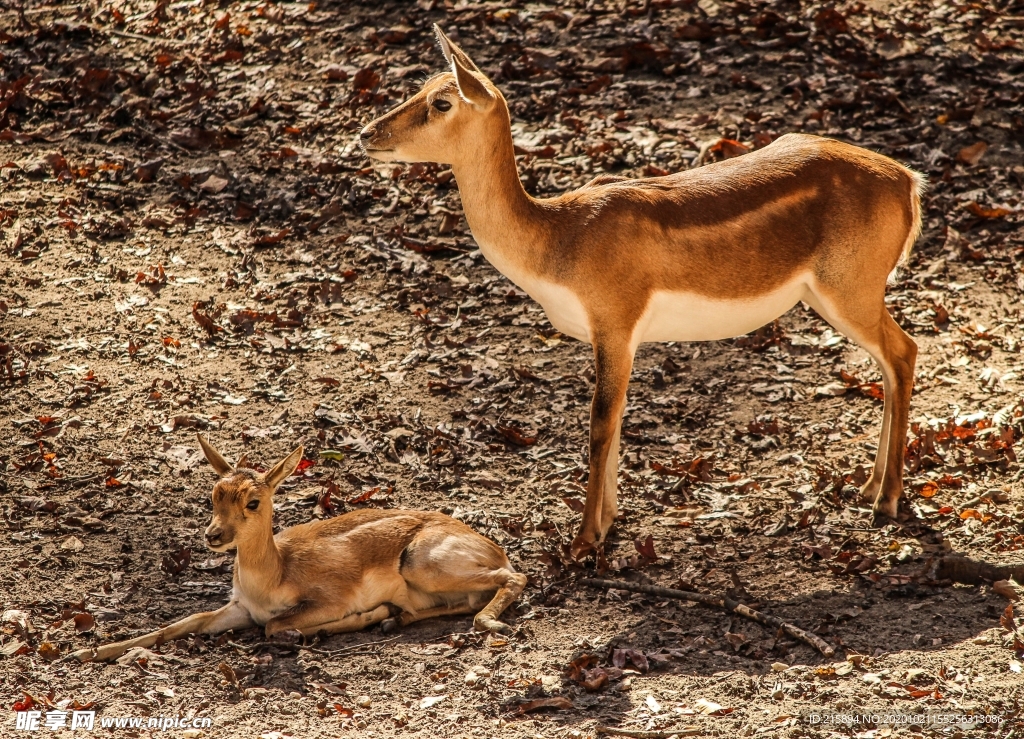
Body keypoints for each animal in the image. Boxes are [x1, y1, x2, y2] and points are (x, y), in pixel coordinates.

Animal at [70, 431, 528, 663]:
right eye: (215, 493)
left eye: (253, 501)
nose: (213, 535)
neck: (273, 576)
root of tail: (492, 546)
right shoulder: (239, 607)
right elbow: (182, 623)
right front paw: (89, 651)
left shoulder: (325, 600)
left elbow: (274, 626)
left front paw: (364, 615)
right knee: (465, 600)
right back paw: (395, 618)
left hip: (423, 563)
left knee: (514, 578)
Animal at [364, 25, 925, 556]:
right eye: (420, 87)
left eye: (442, 101)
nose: (368, 132)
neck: (559, 240)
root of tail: (908, 181)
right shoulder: (619, 338)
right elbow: (616, 419)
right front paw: (608, 523)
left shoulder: (615, 322)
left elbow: (599, 421)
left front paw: (583, 541)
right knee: (891, 361)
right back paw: (869, 486)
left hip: (849, 290)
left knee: (904, 351)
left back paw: (887, 499)